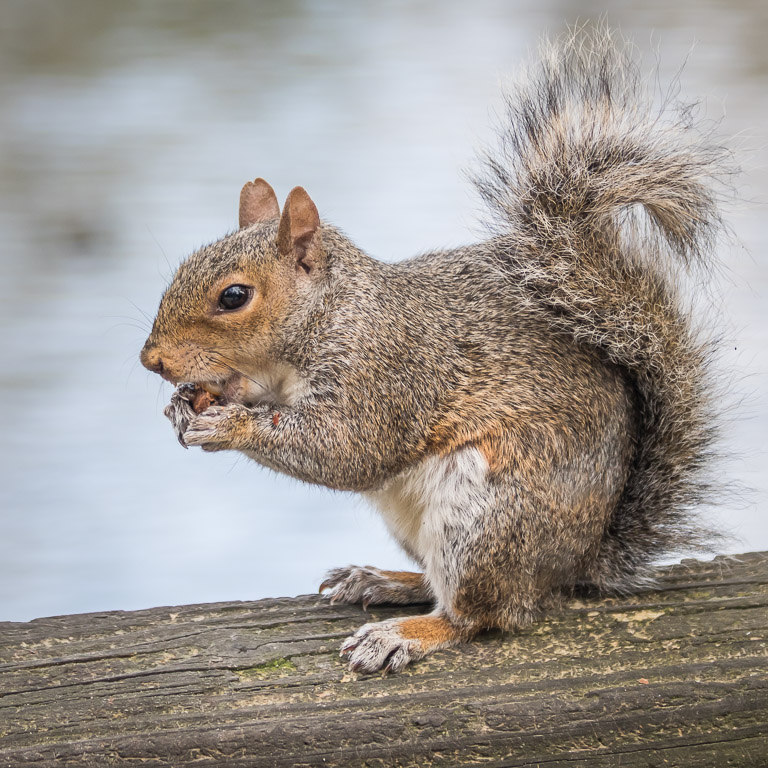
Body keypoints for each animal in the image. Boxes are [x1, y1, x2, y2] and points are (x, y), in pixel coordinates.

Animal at [141, 28, 728, 672]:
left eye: (234, 296)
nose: (152, 360)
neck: (330, 316)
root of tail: (574, 562)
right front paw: (182, 404)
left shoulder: (387, 371)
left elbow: (347, 449)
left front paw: (228, 425)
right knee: (443, 584)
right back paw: (384, 581)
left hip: (485, 519)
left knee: (483, 615)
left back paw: (405, 632)